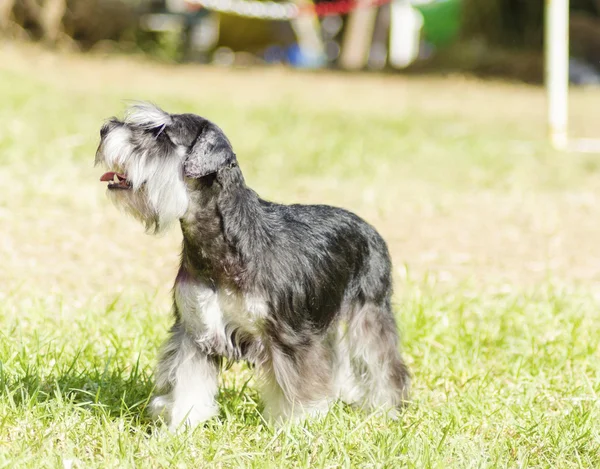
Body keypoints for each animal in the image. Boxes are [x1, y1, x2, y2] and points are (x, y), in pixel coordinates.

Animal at [95, 102, 412, 428]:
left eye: (159, 133)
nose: (104, 129)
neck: (222, 244)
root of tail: (369, 229)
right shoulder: (194, 332)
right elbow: (187, 382)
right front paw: (179, 425)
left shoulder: (288, 336)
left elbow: (298, 386)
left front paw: (296, 425)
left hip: (369, 314)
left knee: (383, 365)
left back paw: (385, 409)